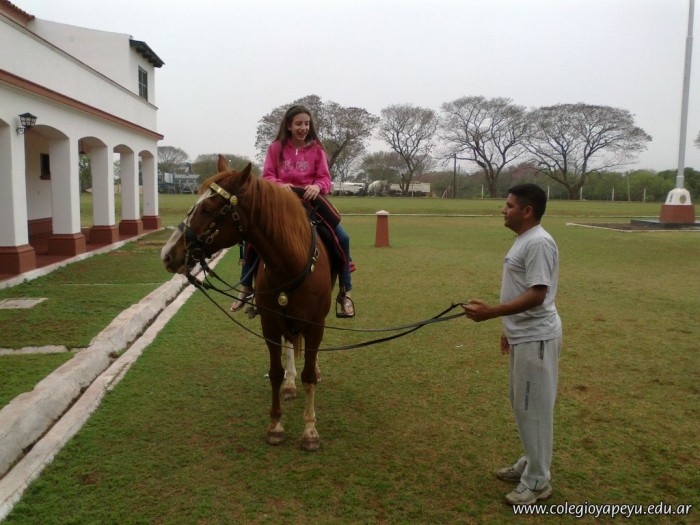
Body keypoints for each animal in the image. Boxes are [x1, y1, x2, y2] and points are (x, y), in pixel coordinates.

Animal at [160, 155, 335, 451]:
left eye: (207, 208)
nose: (168, 254)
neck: (290, 262)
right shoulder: (270, 323)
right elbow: (275, 372)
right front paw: (275, 426)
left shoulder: (314, 324)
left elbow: (309, 376)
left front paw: (310, 431)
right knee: (290, 344)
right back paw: (290, 384)